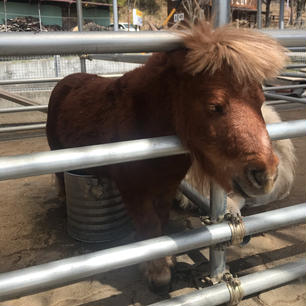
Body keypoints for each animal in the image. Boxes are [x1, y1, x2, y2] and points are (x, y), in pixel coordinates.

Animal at [46, 22, 286, 292]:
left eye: (261, 101)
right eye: (214, 106)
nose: (266, 175)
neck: (145, 124)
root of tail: (66, 80)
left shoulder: (167, 187)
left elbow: (160, 221)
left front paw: (165, 260)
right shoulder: (133, 190)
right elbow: (149, 224)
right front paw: (158, 272)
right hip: (56, 152)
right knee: (60, 177)